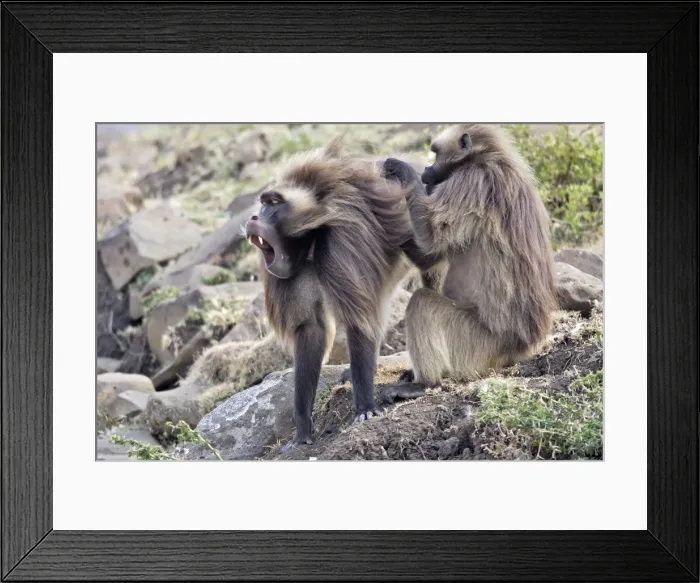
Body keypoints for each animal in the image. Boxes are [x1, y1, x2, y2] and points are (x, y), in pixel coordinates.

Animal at [243, 137, 427, 448]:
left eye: (274, 204)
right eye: (264, 202)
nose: (254, 216)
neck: (313, 231)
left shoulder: (343, 236)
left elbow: (357, 319)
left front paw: (365, 407)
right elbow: (311, 329)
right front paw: (303, 428)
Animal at [379, 123, 558, 402]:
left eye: (435, 153)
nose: (427, 170)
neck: (485, 158)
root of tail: (522, 347)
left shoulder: (470, 181)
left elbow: (431, 235)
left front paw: (401, 170)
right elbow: (429, 256)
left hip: (477, 345)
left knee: (422, 304)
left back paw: (425, 384)